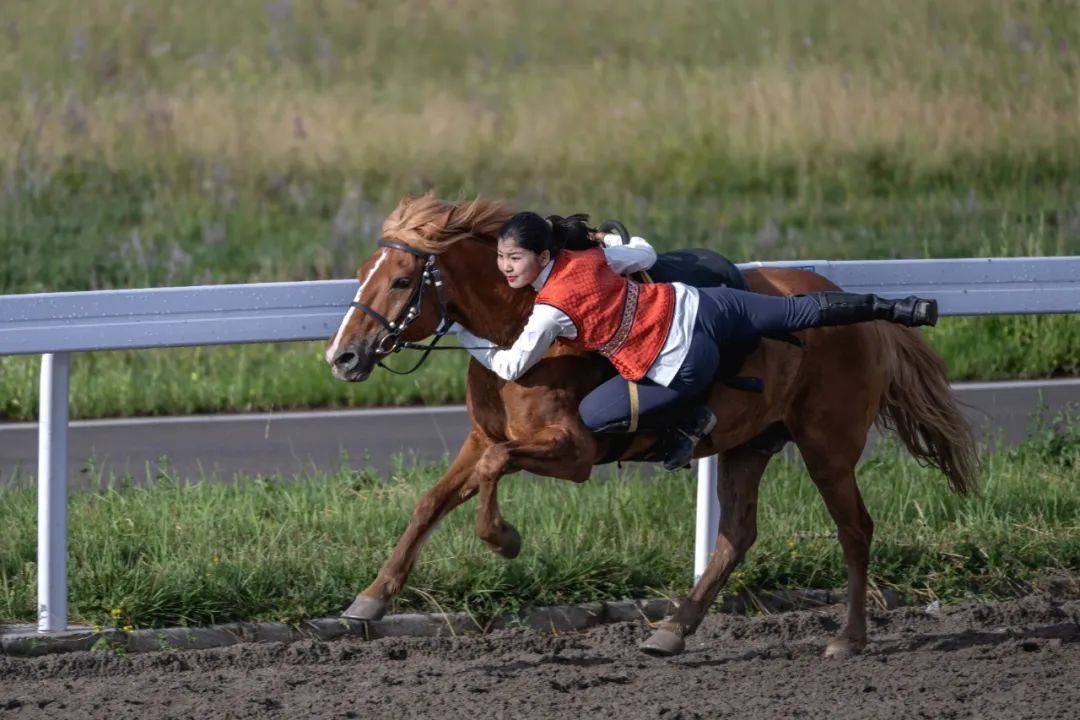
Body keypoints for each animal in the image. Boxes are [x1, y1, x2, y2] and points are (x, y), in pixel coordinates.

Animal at [324, 193, 976, 660]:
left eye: (402, 280)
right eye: (362, 271)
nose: (343, 356)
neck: (520, 323)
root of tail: (861, 318)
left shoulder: (575, 450)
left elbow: (494, 468)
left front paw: (503, 538)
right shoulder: (484, 434)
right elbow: (432, 500)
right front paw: (370, 600)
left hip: (828, 447)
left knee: (855, 529)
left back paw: (849, 636)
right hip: (749, 444)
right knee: (736, 535)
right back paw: (673, 629)